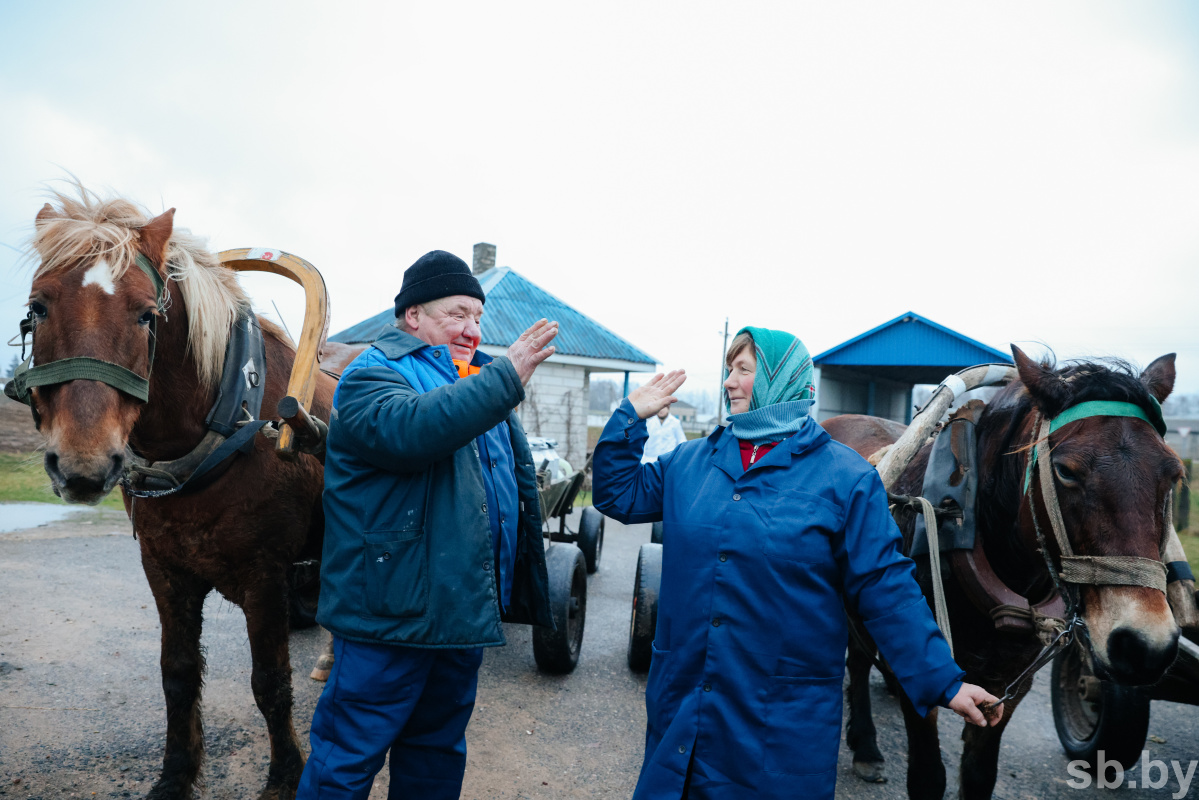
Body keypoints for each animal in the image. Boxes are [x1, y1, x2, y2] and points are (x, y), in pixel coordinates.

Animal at [17, 184, 338, 796]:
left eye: (147, 315)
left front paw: (285, 776)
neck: (228, 420)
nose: (83, 465)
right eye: (38, 308)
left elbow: (270, 683)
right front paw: (175, 775)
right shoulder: (164, 568)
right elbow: (178, 676)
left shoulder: (265, 575)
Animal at [824, 347, 1179, 800]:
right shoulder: (920, 674)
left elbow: (979, 776)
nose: (1143, 645)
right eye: (1065, 471)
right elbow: (927, 776)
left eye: (1173, 474)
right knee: (856, 660)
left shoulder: (1009, 686)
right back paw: (866, 746)